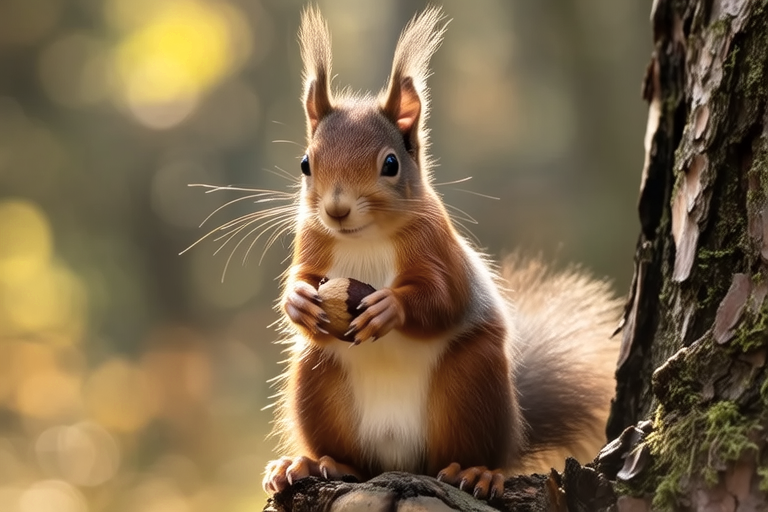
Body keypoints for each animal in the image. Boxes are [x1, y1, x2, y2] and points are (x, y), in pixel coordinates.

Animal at [262, 6, 621, 501]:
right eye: (305, 164)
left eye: (390, 164)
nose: (336, 209)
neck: (363, 238)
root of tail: (397, 457)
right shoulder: (312, 240)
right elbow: (301, 276)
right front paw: (297, 300)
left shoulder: (437, 246)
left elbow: (444, 297)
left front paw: (390, 307)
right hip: (316, 377)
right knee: (349, 454)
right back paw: (313, 462)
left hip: (471, 382)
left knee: (470, 451)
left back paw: (476, 471)